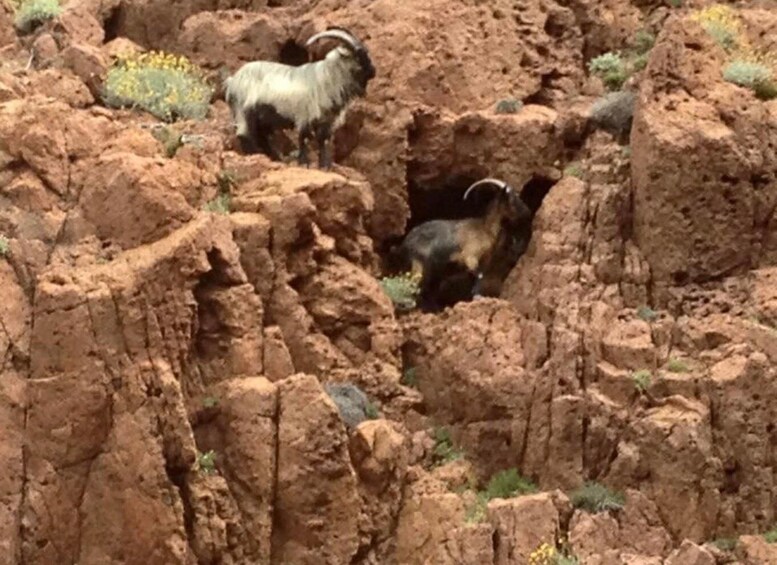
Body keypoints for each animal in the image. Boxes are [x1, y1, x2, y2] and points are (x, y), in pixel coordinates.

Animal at [221, 27, 376, 167]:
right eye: (358, 55)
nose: (373, 72)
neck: (327, 79)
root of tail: (232, 81)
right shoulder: (304, 116)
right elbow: (304, 140)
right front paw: (304, 163)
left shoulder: (326, 121)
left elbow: (323, 142)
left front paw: (324, 166)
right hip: (244, 111)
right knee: (244, 135)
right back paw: (256, 156)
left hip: (262, 119)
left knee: (262, 137)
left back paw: (275, 158)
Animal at [394, 176, 532, 308]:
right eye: (512, 199)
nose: (527, 212)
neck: (485, 230)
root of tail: (404, 244)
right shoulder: (469, 256)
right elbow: (479, 275)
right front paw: (477, 296)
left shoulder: (483, 260)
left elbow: (477, 277)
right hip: (419, 263)